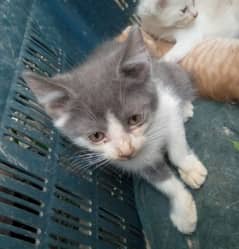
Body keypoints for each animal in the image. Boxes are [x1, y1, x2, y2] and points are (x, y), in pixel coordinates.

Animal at [22, 26, 207, 234]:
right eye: (96, 136)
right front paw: (183, 209)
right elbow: (162, 181)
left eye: (135, 119)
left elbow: (176, 145)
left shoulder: (166, 104)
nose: (126, 150)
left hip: (174, 74)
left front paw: (190, 168)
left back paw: (186, 108)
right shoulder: (135, 162)